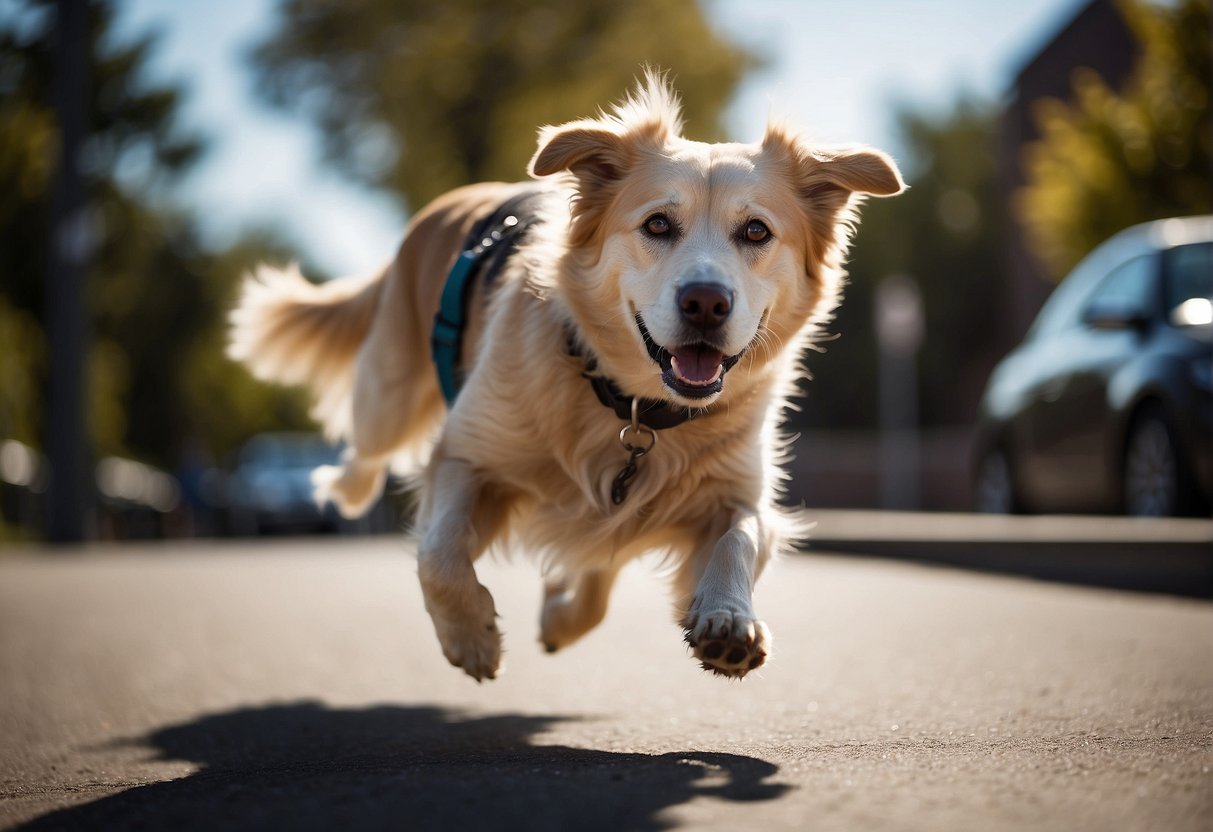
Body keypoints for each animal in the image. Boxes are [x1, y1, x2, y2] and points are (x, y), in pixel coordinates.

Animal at [231, 73, 907, 684]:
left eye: (757, 231)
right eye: (657, 225)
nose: (706, 303)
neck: (632, 409)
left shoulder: (735, 492)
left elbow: (734, 539)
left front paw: (728, 621)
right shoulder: (466, 453)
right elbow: (438, 554)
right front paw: (470, 637)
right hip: (386, 396)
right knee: (367, 452)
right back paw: (343, 486)